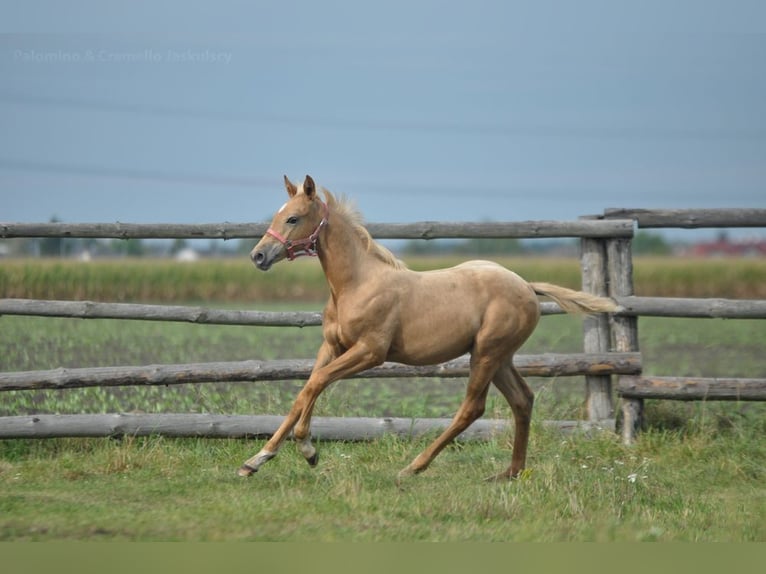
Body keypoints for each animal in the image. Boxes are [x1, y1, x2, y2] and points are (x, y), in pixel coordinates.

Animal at [240, 174, 616, 482]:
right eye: (277, 215)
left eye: (293, 218)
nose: (258, 256)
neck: (356, 284)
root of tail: (526, 285)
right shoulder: (332, 346)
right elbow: (304, 392)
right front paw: (256, 460)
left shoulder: (370, 352)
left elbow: (316, 383)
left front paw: (307, 449)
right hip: (500, 357)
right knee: (522, 400)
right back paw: (509, 473)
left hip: (486, 353)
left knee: (472, 408)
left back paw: (413, 467)